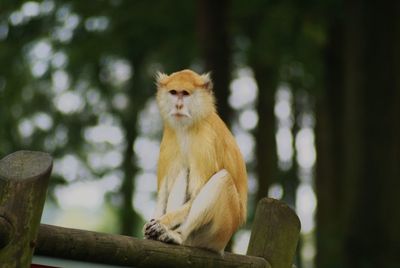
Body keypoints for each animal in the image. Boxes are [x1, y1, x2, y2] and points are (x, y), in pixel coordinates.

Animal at [144, 69, 247, 253]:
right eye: (173, 92)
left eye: (185, 93)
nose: (178, 106)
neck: (189, 126)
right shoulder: (170, 135)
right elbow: (164, 191)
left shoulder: (205, 141)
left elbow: (197, 193)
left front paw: (162, 223)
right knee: (182, 169)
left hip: (218, 232)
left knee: (224, 179)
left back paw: (177, 236)